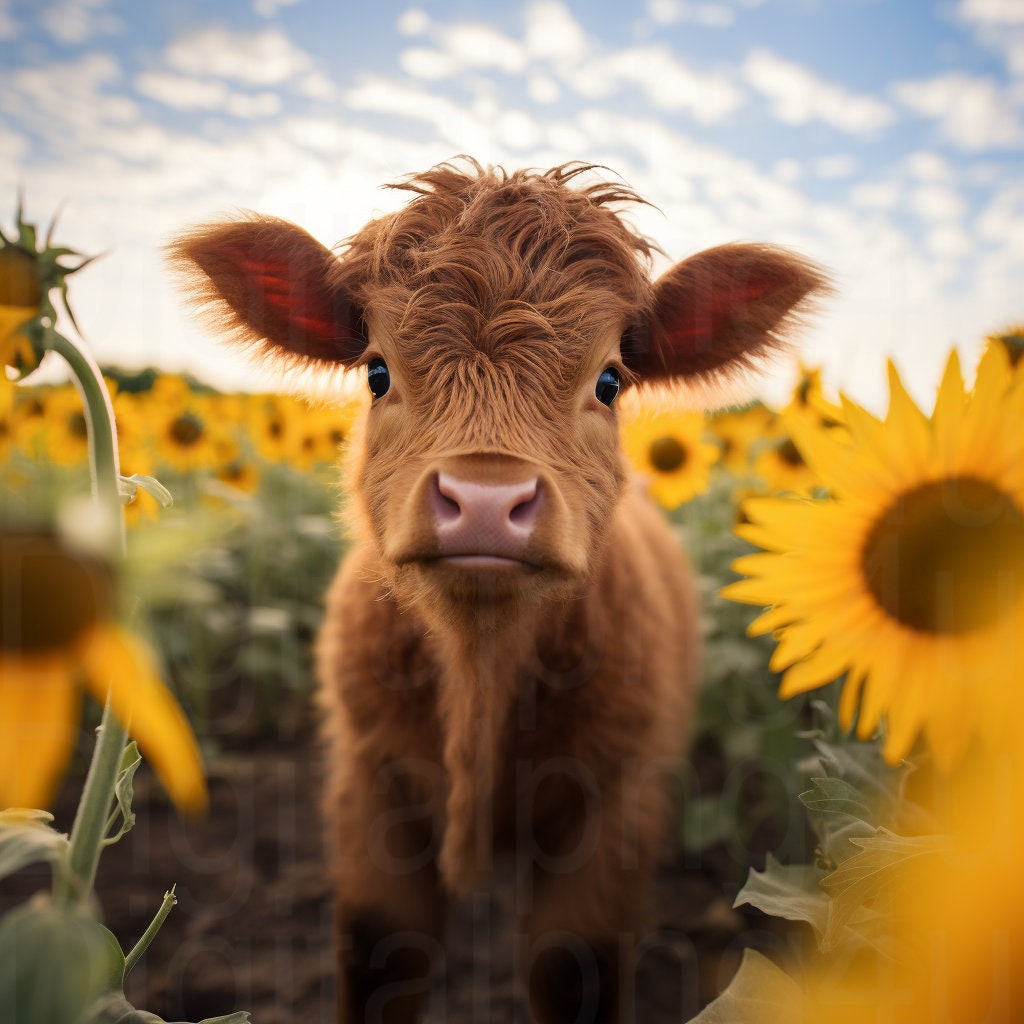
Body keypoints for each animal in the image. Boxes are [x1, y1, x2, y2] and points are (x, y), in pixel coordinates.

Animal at [168, 159, 827, 1024]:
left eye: (610, 381)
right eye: (376, 371)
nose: (485, 498)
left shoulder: (614, 808)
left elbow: (569, 966)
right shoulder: (368, 786)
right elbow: (382, 953)